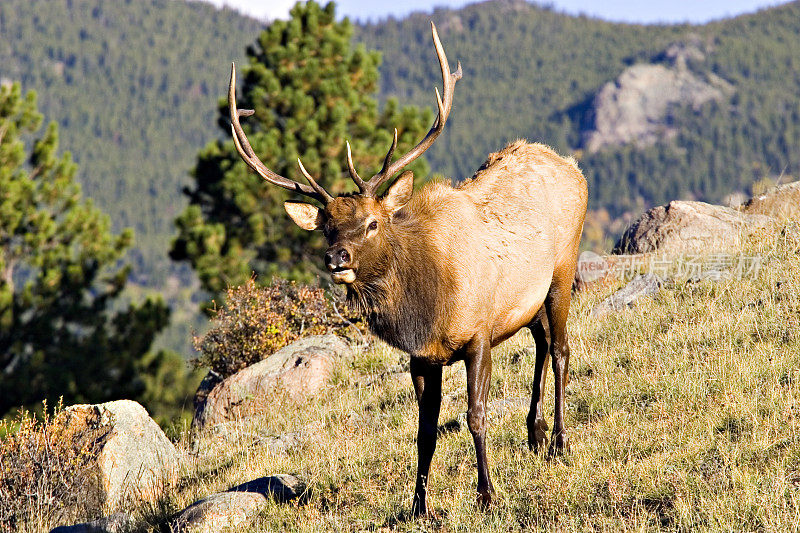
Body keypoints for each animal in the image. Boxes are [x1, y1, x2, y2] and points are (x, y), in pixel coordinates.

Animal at [225, 22, 588, 512]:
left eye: (373, 222)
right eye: (326, 229)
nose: (336, 258)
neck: (426, 309)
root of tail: (573, 167)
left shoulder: (478, 334)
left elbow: (475, 416)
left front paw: (487, 494)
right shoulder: (421, 357)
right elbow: (424, 433)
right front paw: (418, 506)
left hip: (563, 269)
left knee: (563, 348)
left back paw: (560, 443)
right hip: (526, 303)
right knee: (544, 344)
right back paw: (535, 435)